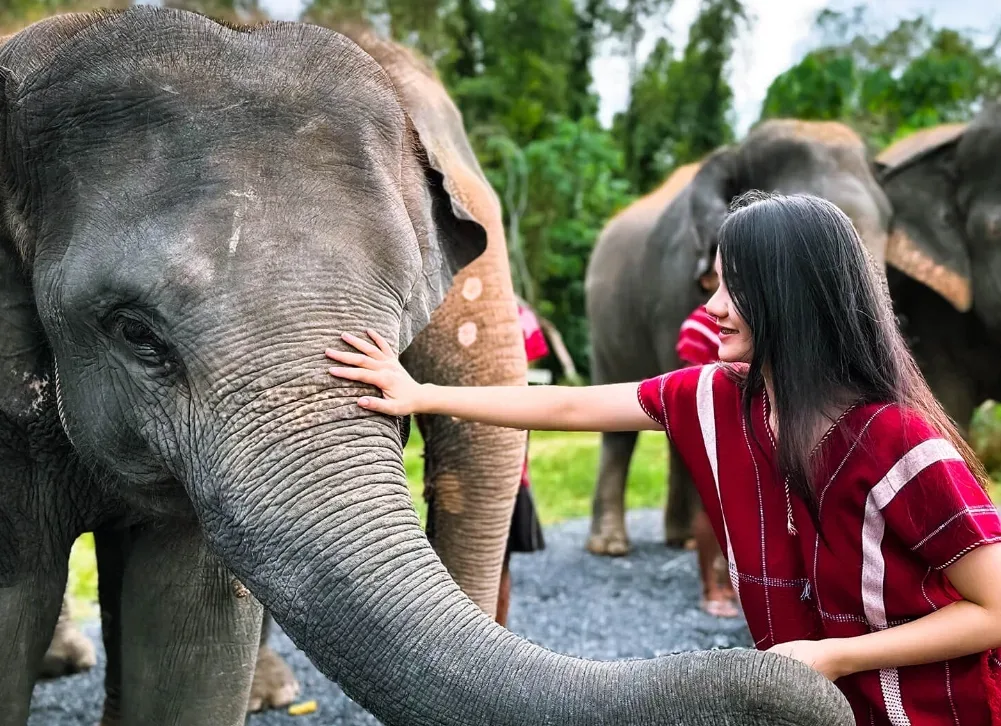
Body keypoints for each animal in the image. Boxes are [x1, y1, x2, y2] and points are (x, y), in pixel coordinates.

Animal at [585, 120, 892, 562]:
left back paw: (682, 539)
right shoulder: (674, 285)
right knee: (619, 428)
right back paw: (610, 547)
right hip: (604, 325)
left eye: (890, 224)